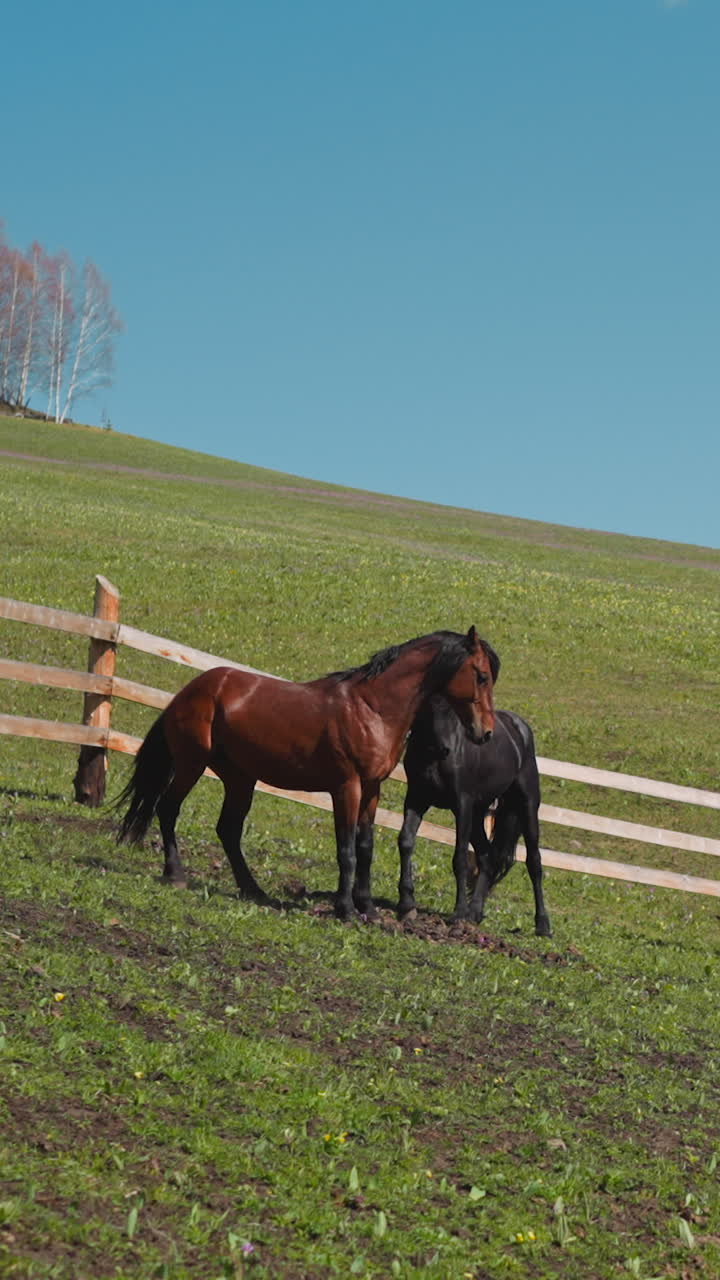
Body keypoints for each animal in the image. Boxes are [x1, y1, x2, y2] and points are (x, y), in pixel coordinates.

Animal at [117, 627, 497, 920]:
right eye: (481, 676)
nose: (486, 732)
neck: (371, 709)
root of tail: (191, 691)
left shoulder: (372, 788)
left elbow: (366, 846)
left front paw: (369, 909)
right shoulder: (347, 787)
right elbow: (346, 849)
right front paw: (346, 909)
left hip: (240, 778)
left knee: (228, 829)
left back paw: (253, 890)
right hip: (192, 764)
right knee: (168, 809)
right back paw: (176, 874)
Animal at [397, 693, 552, 936]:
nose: (444, 749)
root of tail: (520, 728)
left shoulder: (462, 804)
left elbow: (459, 857)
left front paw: (458, 912)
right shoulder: (416, 798)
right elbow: (405, 841)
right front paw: (406, 905)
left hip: (526, 806)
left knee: (534, 862)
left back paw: (543, 925)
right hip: (479, 813)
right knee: (487, 856)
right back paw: (475, 913)